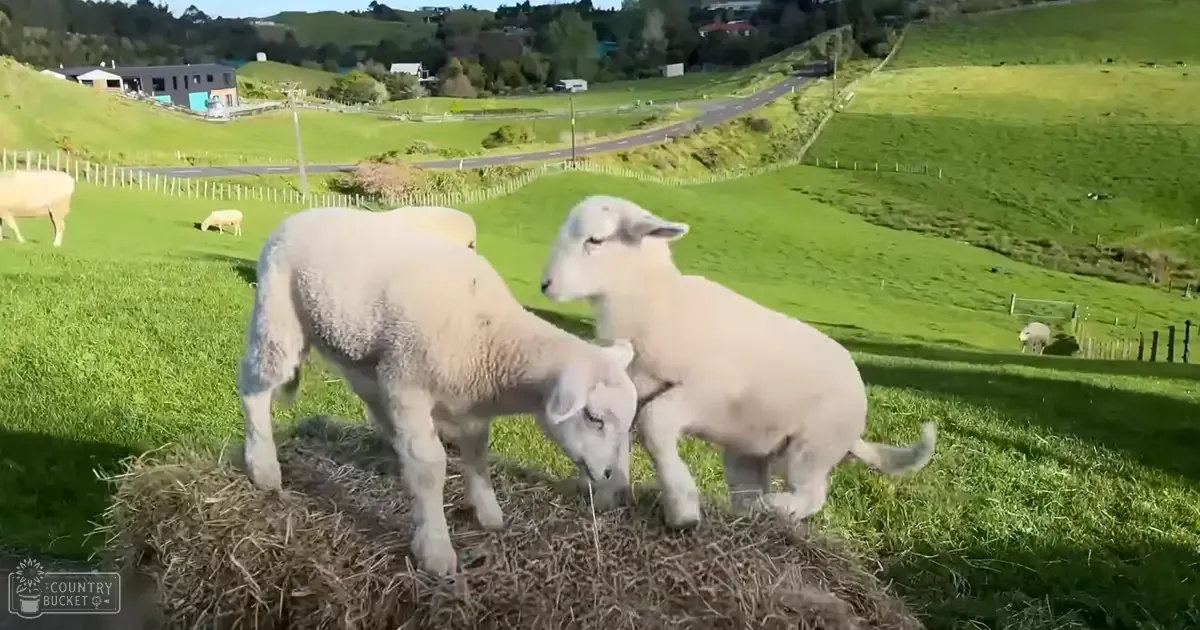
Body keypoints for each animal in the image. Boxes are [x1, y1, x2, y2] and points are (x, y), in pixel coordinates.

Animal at [238, 205, 640, 576]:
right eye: (593, 417)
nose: (611, 477)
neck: (494, 340)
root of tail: (298, 215)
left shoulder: (468, 402)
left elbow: (477, 450)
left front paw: (487, 511)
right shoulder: (406, 382)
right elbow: (430, 467)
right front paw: (435, 549)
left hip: (360, 354)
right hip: (278, 319)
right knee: (254, 386)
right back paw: (264, 467)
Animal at [539, 195, 937, 529]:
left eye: (596, 240)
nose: (546, 285)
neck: (657, 300)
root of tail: (857, 427)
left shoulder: (707, 390)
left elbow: (654, 424)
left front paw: (683, 507)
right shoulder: (639, 385)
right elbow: (623, 432)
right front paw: (611, 493)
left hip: (812, 446)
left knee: (811, 495)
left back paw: (774, 508)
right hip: (750, 449)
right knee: (752, 492)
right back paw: (752, 514)